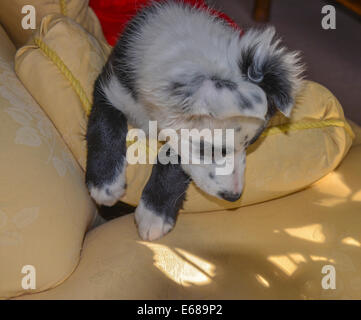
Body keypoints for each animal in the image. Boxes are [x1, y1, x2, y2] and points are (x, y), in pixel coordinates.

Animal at [86, 0, 302, 240]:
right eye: (208, 149)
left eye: (252, 143)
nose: (234, 196)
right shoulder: (111, 86)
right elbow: (105, 125)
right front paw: (104, 185)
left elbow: (173, 160)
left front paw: (154, 214)